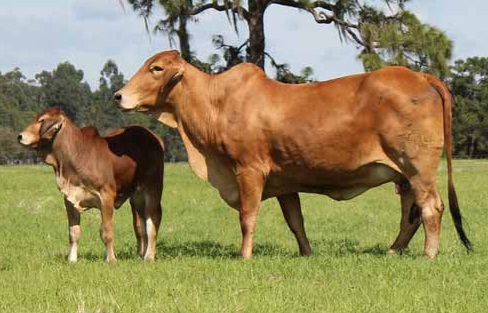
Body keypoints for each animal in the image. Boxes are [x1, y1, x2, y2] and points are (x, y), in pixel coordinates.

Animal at [17, 106, 164, 260]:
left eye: (42, 120)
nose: (20, 136)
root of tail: (154, 137)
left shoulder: (106, 196)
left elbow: (106, 231)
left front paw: (111, 259)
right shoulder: (69, 199)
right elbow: (74, 233)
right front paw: (71, 259)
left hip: (153, 188)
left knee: (153, 220)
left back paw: (149, 256)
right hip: (136, 198)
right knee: (140, 225)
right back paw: (141, 254)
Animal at [112, 49, 470, 258]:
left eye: (156, 68)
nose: (118, 96)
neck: (216, 103)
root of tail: (419, 75)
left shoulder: (248, 171)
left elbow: (248, 217)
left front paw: (244, 256)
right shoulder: (286, 182)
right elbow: (296, 222)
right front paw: (307, 253)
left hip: (418, 168)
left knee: (431, 209)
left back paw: (428, 255)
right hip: (403, 175)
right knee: (411, 214)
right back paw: (393, 251)